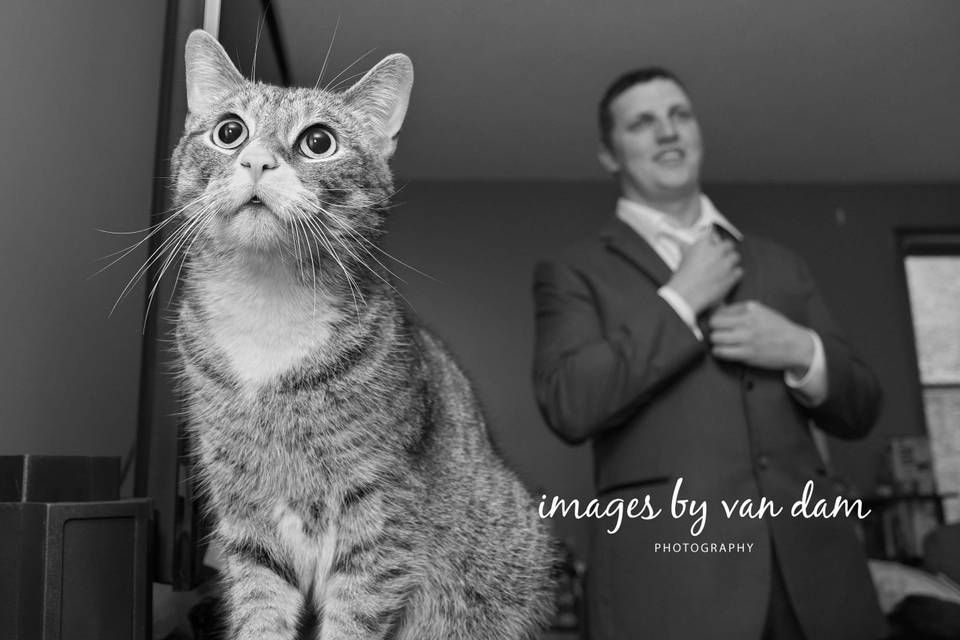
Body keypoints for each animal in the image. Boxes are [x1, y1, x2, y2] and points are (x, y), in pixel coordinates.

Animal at [167, 30, 556, 640]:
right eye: (230, 132)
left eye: (318, 141)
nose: (256, 159)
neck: (268, 300)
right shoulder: (244, 509)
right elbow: (260, 603)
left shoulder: (380, 510)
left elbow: (356, 611)